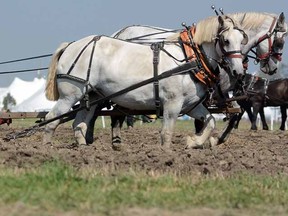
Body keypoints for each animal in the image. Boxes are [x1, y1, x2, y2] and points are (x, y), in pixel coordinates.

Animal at [44, 15, 246, 150]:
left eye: (242, 40)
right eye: (225, 41)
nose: (239, 72)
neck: (189, 59)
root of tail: (71, 45)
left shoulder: (190, 105)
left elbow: (210, 122)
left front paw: (192, 141)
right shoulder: (172, 103)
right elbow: (167, 133)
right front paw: (166, 154)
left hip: (91, 96)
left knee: (79, 124)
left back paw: (84, 150)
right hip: (70, 96)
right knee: (51, 119)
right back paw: (46, 150)